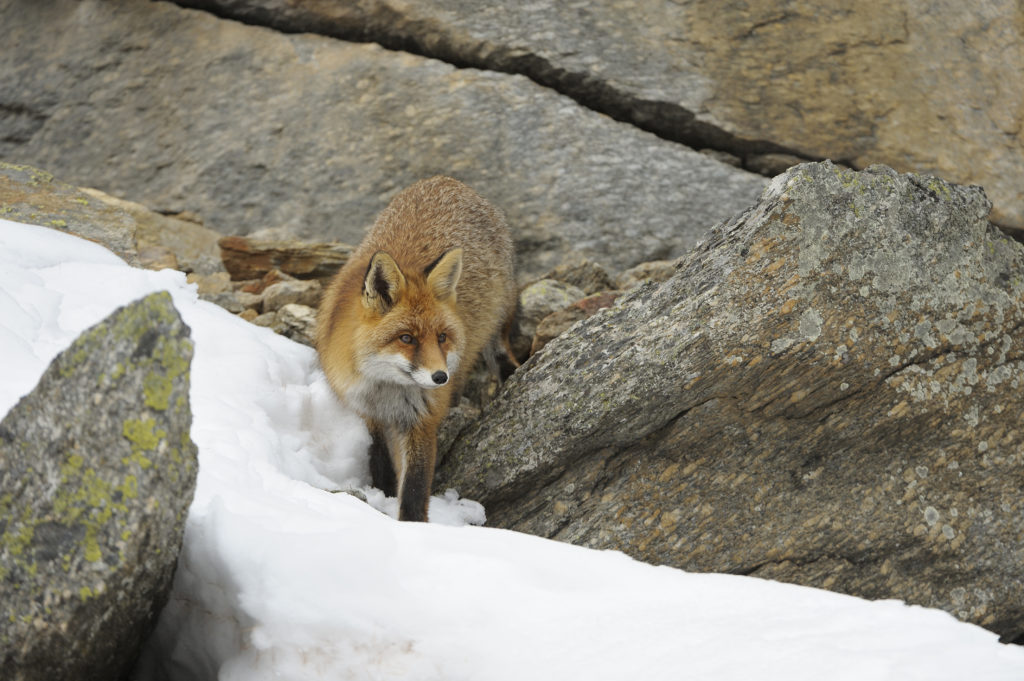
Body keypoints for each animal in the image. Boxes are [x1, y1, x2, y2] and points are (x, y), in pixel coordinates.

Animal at [315, 175, 520, 520]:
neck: (387, 388)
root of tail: (444, 180)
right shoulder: (367, 411)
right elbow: (381, 461)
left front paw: (412, 527)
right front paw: (382, 493)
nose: (440, 377)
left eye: (442, 337)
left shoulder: (423, 419)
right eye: (407, 338)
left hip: (499, 316)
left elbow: (414, 486)